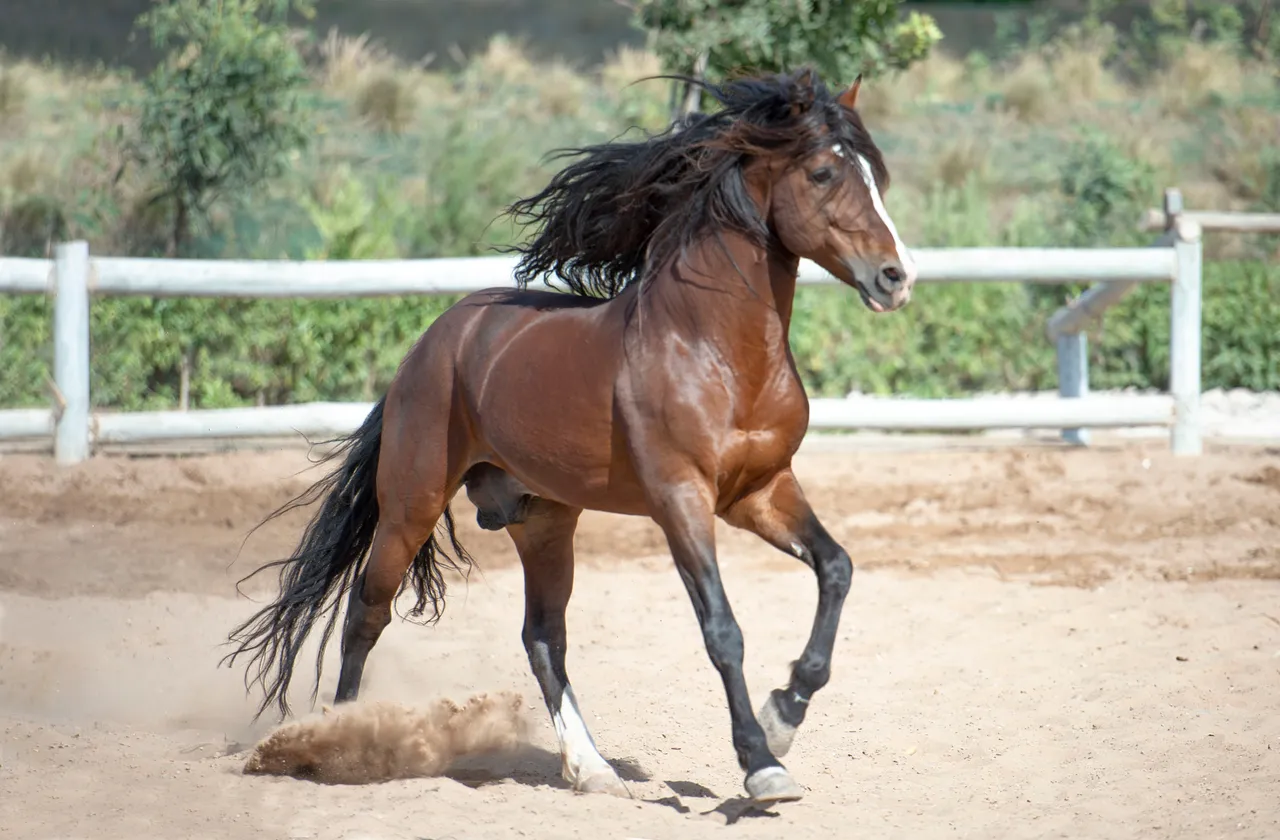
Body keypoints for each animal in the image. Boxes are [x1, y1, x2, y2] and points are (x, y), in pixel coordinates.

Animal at [225, 67, 916, 809]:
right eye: (822, 172)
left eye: (876, 175)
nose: (896, 278)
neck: (716, 351)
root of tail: (436, 339)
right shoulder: (681, 500)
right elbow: (722, 630)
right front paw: (761, 765)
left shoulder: (759, 491)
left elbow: (836, 569)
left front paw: (784, 715)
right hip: (411, 504)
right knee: (366, 610)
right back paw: (341, 741)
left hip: (545, 521)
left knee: (542, 637)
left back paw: (593, 769)